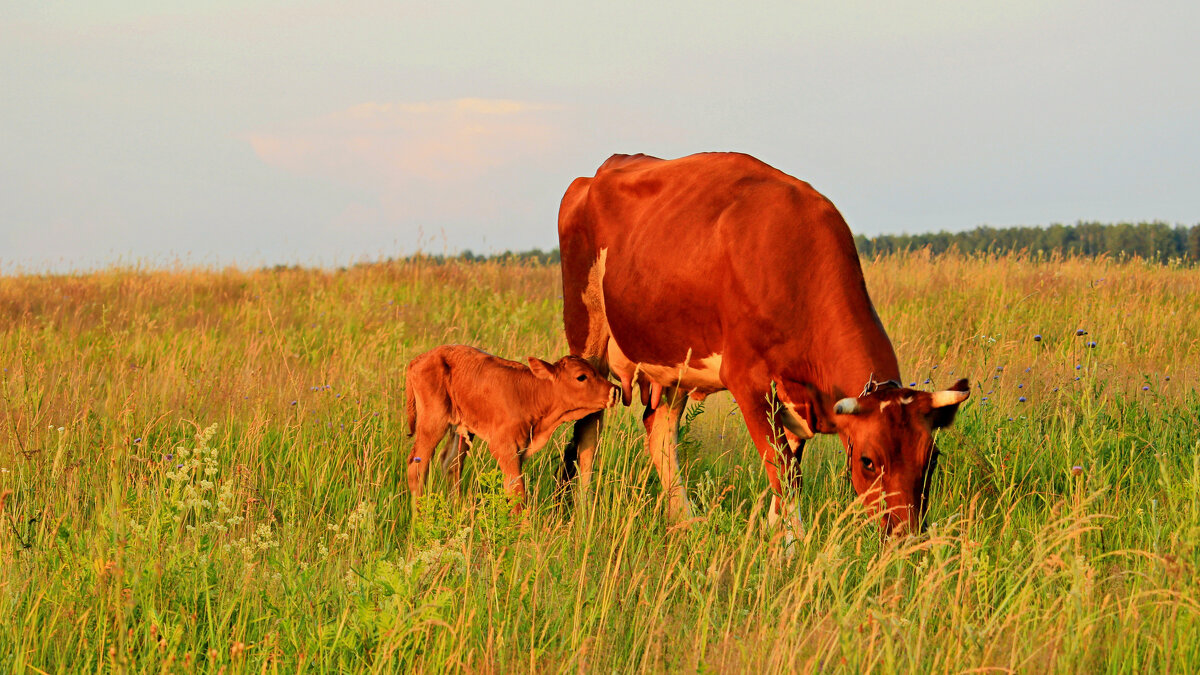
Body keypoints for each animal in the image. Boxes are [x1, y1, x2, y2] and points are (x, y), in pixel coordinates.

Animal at [408, 343, 624, 506]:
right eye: (581, 376)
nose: (615, 390)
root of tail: (421, 358)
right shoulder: (504, 447)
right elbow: (517, 491)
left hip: (462, 428)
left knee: (451, 463)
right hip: (433, 421)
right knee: (417, 466)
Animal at [559, 151, 964, 535]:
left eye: (931, 459)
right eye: (868, 460)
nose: (905, 536)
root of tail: (597, 173)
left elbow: (787, 468)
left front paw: (773, 539)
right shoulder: (747, 379)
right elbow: (784, 472)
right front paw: (793, 546)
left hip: (673, 356)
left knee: (659, 429)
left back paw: (685, 523)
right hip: (587, 330)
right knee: (589, 424)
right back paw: (583, 516)